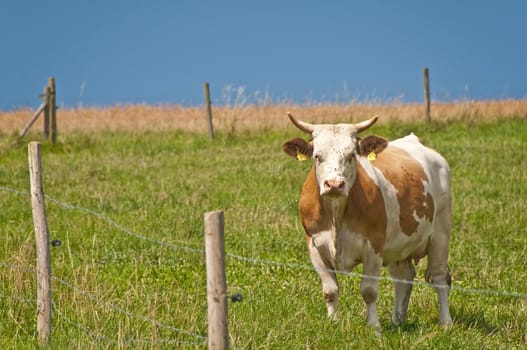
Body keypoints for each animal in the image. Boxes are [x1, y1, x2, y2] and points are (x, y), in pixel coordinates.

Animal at [282, 113, 452, 330]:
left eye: (351, 156)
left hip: (440, 232)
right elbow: (330, 290)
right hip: (398, 246)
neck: (336, 214)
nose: (334, 184)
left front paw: (373, 327)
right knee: (403, 278)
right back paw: (398, 320)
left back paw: (445, 322)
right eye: (317, 156)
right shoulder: (314, 246)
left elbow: (369, 291)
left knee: (439, 277)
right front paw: (333, 323)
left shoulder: (374, 247)